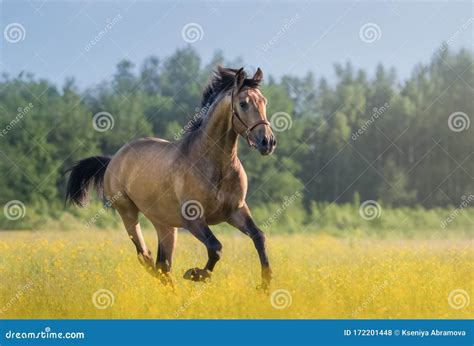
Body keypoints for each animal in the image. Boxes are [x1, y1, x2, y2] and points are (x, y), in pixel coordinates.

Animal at [65, 67, 276, 290]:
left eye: (264, 101)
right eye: (243, 103)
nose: (268, 142)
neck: (216, 165)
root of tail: (113, 159)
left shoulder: (236, 211)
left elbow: (259, 237)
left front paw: (264, 285)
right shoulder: (193, 219)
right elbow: (215, 247)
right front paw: (195, 274)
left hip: (164, 224)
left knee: (162, 264)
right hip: (128, 213)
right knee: (146, 257)